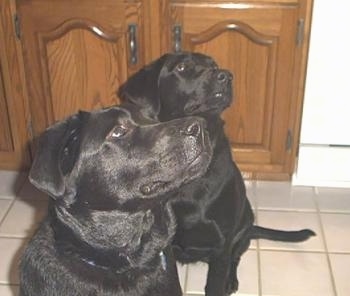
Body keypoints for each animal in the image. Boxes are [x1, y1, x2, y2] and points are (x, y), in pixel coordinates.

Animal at [119, 52, 316, 294]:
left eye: (214, 65)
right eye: (181, 67)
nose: (226, 76)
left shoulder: (223, 242)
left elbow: (216, 282)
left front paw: (223, 282)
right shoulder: (165, 245)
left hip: (243, 225)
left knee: (236, 256)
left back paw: (231, 280)